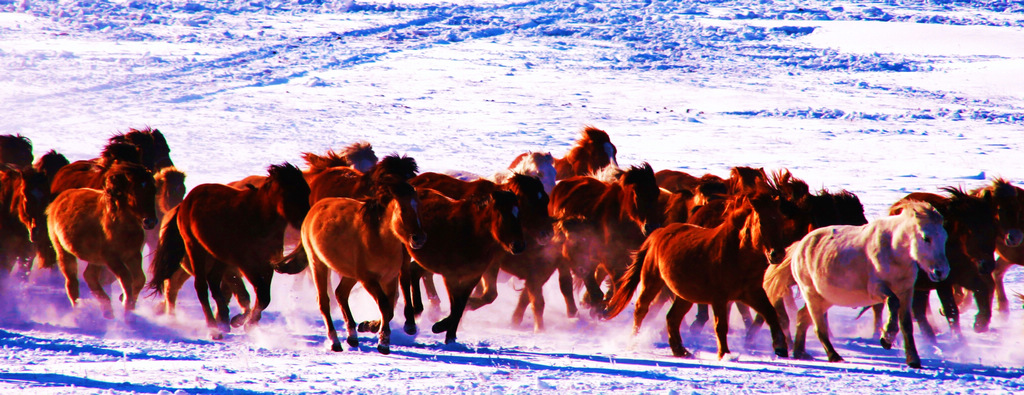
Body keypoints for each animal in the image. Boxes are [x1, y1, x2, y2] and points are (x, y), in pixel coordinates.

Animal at [46, 161, 157, 319]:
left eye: (153, 190)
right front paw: (127, 310)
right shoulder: (112, 259)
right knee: (72, 283)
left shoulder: (133, 255)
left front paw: (128, 307)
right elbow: (126, 278)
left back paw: (107, 310)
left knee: (90, 276)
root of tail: (58, 200)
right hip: (64, 252)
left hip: (95, 260)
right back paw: (79, 312)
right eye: (134, 192)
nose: (150, 222)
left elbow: (139, 279)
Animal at [148, 163, 307, 339]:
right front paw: (246, 322)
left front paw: (244, 322)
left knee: (213, 282)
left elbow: (263, 297)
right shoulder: (247, 264)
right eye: (291, 193)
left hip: (218, 257)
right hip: (195, 249)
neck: (258, 218)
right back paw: (213, 327)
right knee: (201, 287)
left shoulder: (266, 263)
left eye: (306, 191)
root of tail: (184, 203)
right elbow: (259, 295)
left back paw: (223, 320)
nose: (305, 219)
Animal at [401, 188, 528, 341]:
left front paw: (450, 336)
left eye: (519, 215)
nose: (519, 246)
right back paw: (410, 324)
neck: (470, 233)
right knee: (404, 279)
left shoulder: (473, 277)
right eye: (503, 216)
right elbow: (456, 306)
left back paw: (418, 310)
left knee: (414, 271)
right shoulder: (450, 276)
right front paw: (440, 327)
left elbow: (461, 306)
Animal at [765, 200, 946, 370]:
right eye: (926, 238)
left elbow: (907, 324)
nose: (941, 272)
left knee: (802, 317)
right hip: (811, 295)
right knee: (818, 327)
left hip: (826, 299)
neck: (892, 250)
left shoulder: (906, 292)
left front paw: (913, 360)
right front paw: (886, 338)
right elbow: (892, 302)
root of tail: (799, 246)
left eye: (944, 237)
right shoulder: (876, 289)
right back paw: (833, 356)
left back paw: (800, 353)